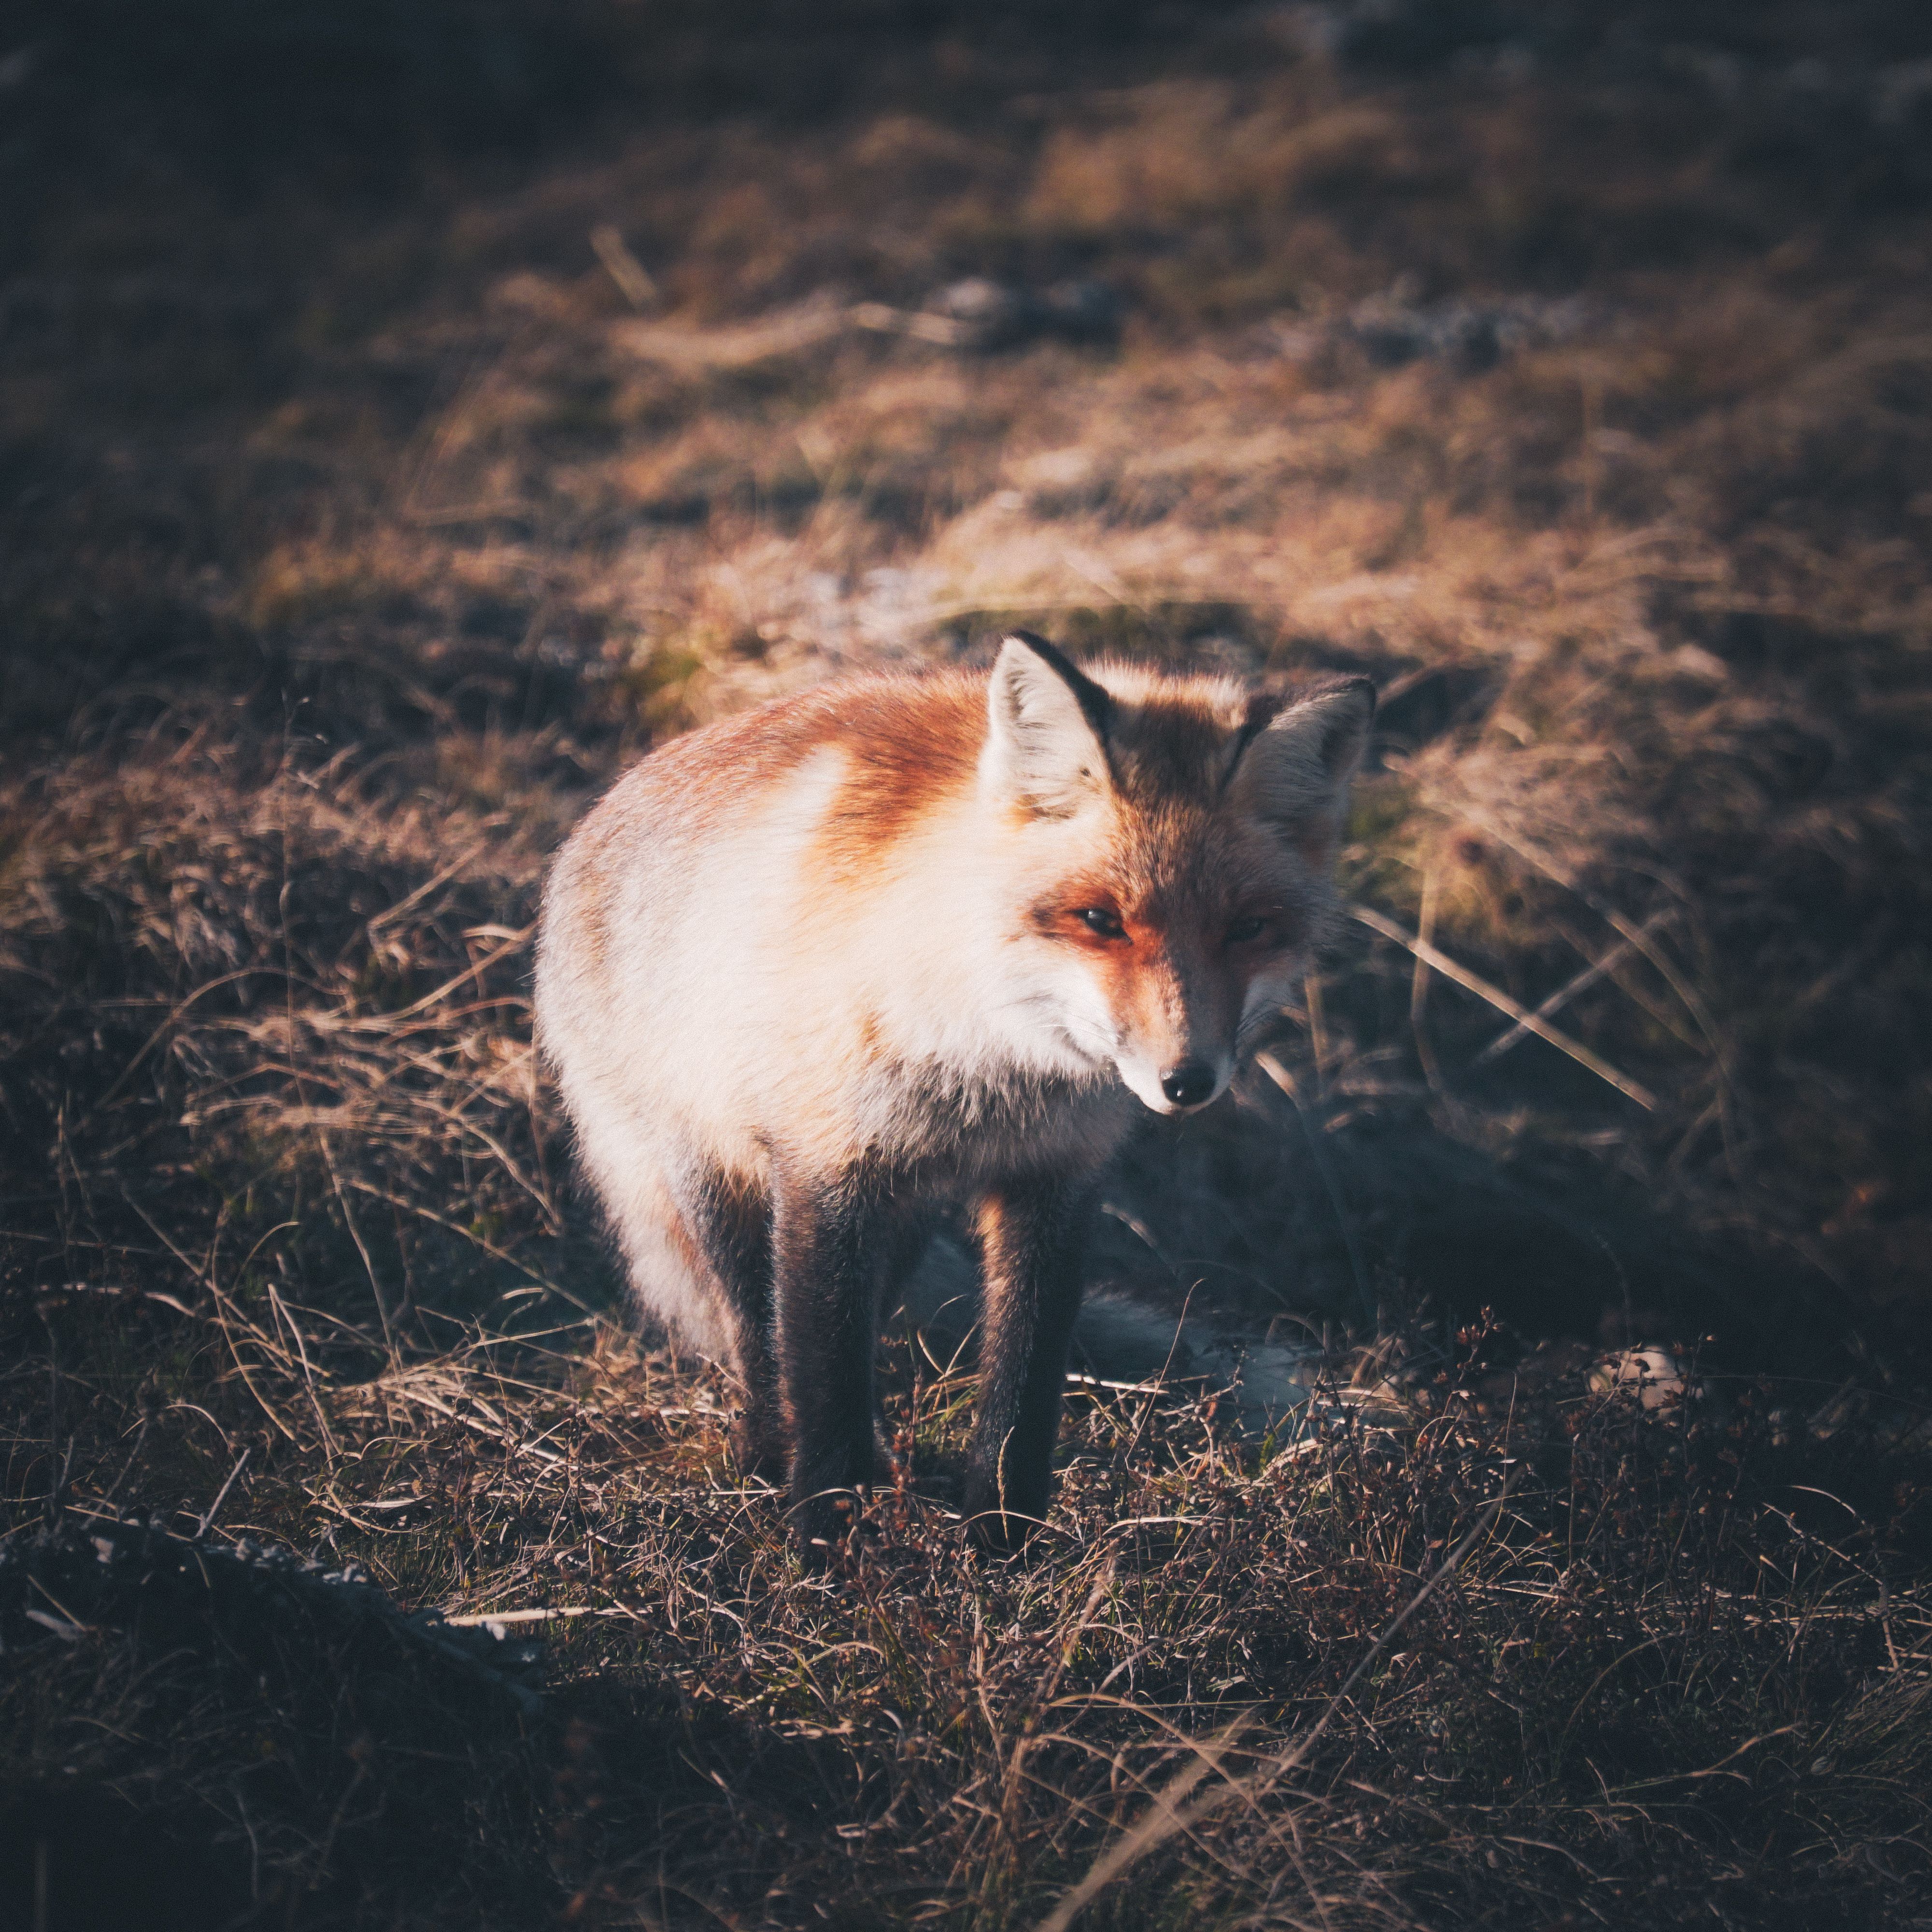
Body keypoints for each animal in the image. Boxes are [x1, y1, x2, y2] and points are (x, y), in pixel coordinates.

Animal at [534, 632, 1373, 1549]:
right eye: (1100, 920)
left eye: (1248, 929)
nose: (1187, 1082)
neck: (988, 1062)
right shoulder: (824, 1171)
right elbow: (820, 1380)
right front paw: (826, 1545)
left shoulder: (1055, 1177)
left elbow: (1025, 1382)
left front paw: (1005, 1545)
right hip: (716, 1171)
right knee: (758, 1338)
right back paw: (763, 1460)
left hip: (903, 1219)